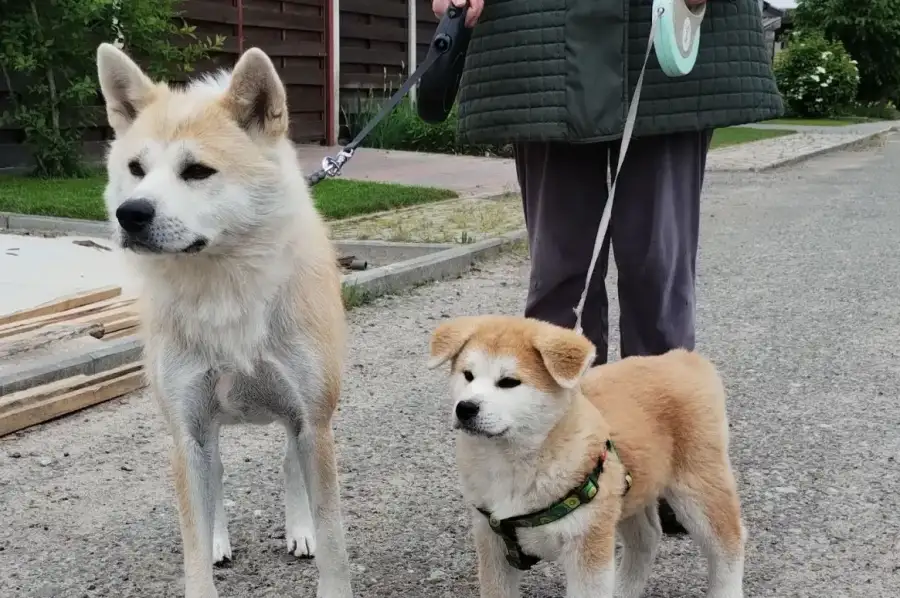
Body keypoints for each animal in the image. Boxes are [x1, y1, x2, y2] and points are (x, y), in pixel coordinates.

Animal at [95, 43, 354, 598]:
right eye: (136, 168)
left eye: (197, 171)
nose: (131, 214)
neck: (222, 287)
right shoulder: (188, 432)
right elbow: (193, 538)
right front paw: (206, 552)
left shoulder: (312, 424)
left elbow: (333, 539)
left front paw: (317, 542)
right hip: (202, 434)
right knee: (215, 479)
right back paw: (219, 539)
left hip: (298, 424)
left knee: (287, 467)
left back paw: (299, 529)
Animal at [428, 316, 744, 596]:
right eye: (467, 375)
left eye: (508, 382)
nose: (465, 408)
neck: (515, 466)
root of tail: (682, 359)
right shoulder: (493, 544)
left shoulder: (588, 546)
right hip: (631, 489)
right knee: (647, 538)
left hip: (698, 489)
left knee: (730, 544)